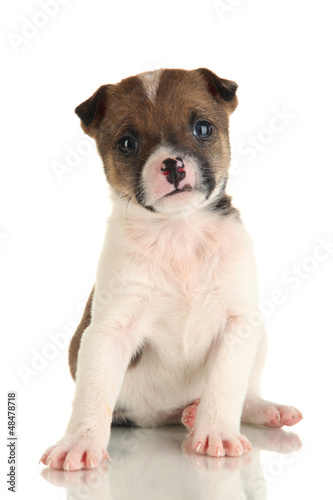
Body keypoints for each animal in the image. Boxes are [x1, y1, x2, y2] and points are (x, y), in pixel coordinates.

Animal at [40, 68, 302, 470]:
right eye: (128, 143)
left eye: (203, 128)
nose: (172, 165)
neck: (179, 231)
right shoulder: (109, 332)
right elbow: (93, 393)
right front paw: (80, 442)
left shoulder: (238, 325)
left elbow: (226, 385)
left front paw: (217, 431)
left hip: (260, 338)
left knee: (246, 392)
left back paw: (245, 410)